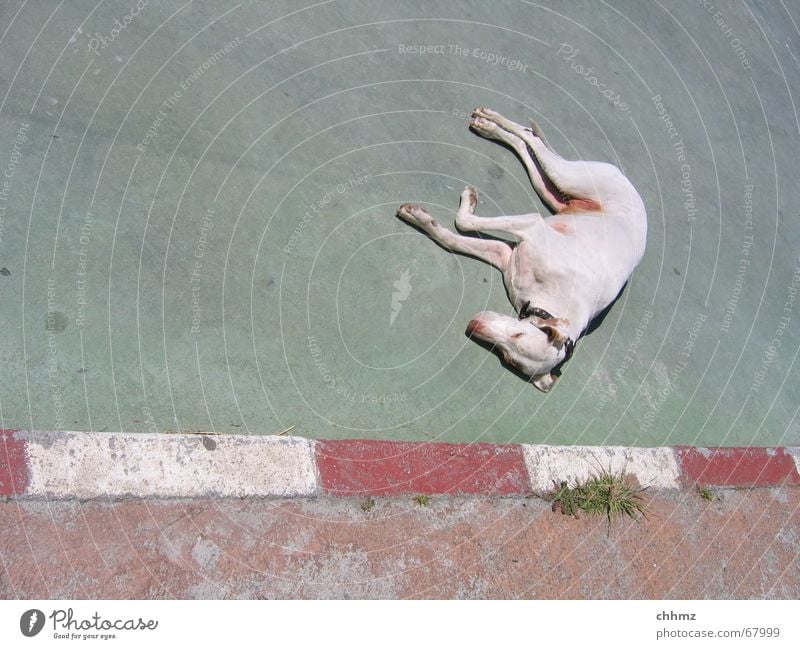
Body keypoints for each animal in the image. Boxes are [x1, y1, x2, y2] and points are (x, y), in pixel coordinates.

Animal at [396, 107, 648, 390]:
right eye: (517, 334)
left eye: (510, 359)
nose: (473, 325)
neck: (550, 298)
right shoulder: (532, 225)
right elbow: (464, 222)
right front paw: (442, 208)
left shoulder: (505, 256)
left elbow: (451, 237)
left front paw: (423, 219)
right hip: (570, 177)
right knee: (532, 137)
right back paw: (490, 122)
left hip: (554, 192)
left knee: (528, 148)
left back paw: (489, 127)